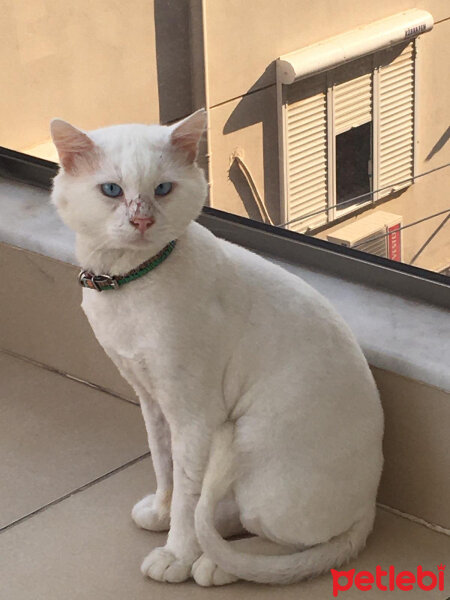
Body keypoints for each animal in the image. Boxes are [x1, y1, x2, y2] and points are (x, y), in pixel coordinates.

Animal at [51, 109, 384, 584]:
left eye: (163, 189)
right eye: (112, 190)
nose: (142, 220)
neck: (126, 282)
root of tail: (368, 506)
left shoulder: (194, 416)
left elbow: (188, 493)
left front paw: (176, 554)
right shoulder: (150, 399)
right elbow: (164, 466)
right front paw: (162, 513)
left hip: (254, 455)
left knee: (287, 542)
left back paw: (215, 564)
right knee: (226, 517)